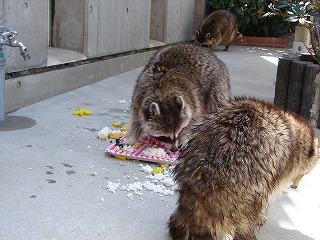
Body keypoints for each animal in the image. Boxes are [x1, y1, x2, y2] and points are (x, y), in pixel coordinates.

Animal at [169, 96, 318, 239]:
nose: (295, 186)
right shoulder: (280, 167)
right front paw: (262, 217)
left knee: (177, 219)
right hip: (248, 192)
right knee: (248, 220)